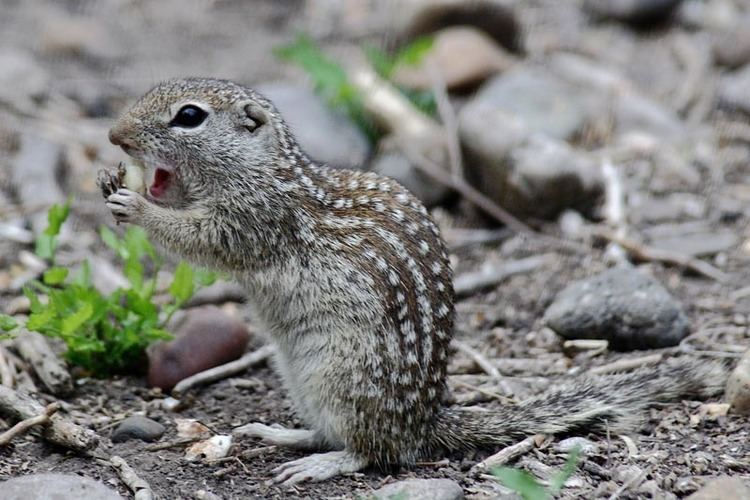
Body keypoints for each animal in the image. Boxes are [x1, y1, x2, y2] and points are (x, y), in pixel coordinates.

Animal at [100, 77, 728, 484]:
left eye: (189, 116)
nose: (114, 136)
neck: (264, 170)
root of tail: (426, 422)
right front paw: (112, 183)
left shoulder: (255, 218)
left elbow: (204, 240)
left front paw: (135, 205)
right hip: (301, 377)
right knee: (340, 433)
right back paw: (281, 435)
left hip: (341, 375)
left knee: (375, 450)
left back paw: (317, 463)